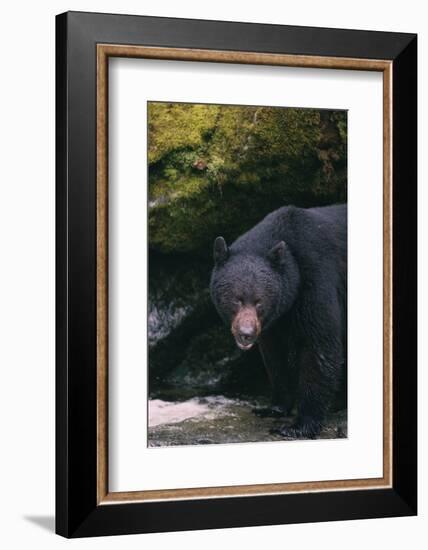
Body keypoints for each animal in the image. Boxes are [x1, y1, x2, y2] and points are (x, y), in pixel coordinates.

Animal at [211, 205, 348, 442]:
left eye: (259, 301)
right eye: (237, 299)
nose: (246, 333)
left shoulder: (317, 280)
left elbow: (319, 346)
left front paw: (298, 425)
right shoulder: (277, 319)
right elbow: (275, 355)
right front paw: (273, 407)